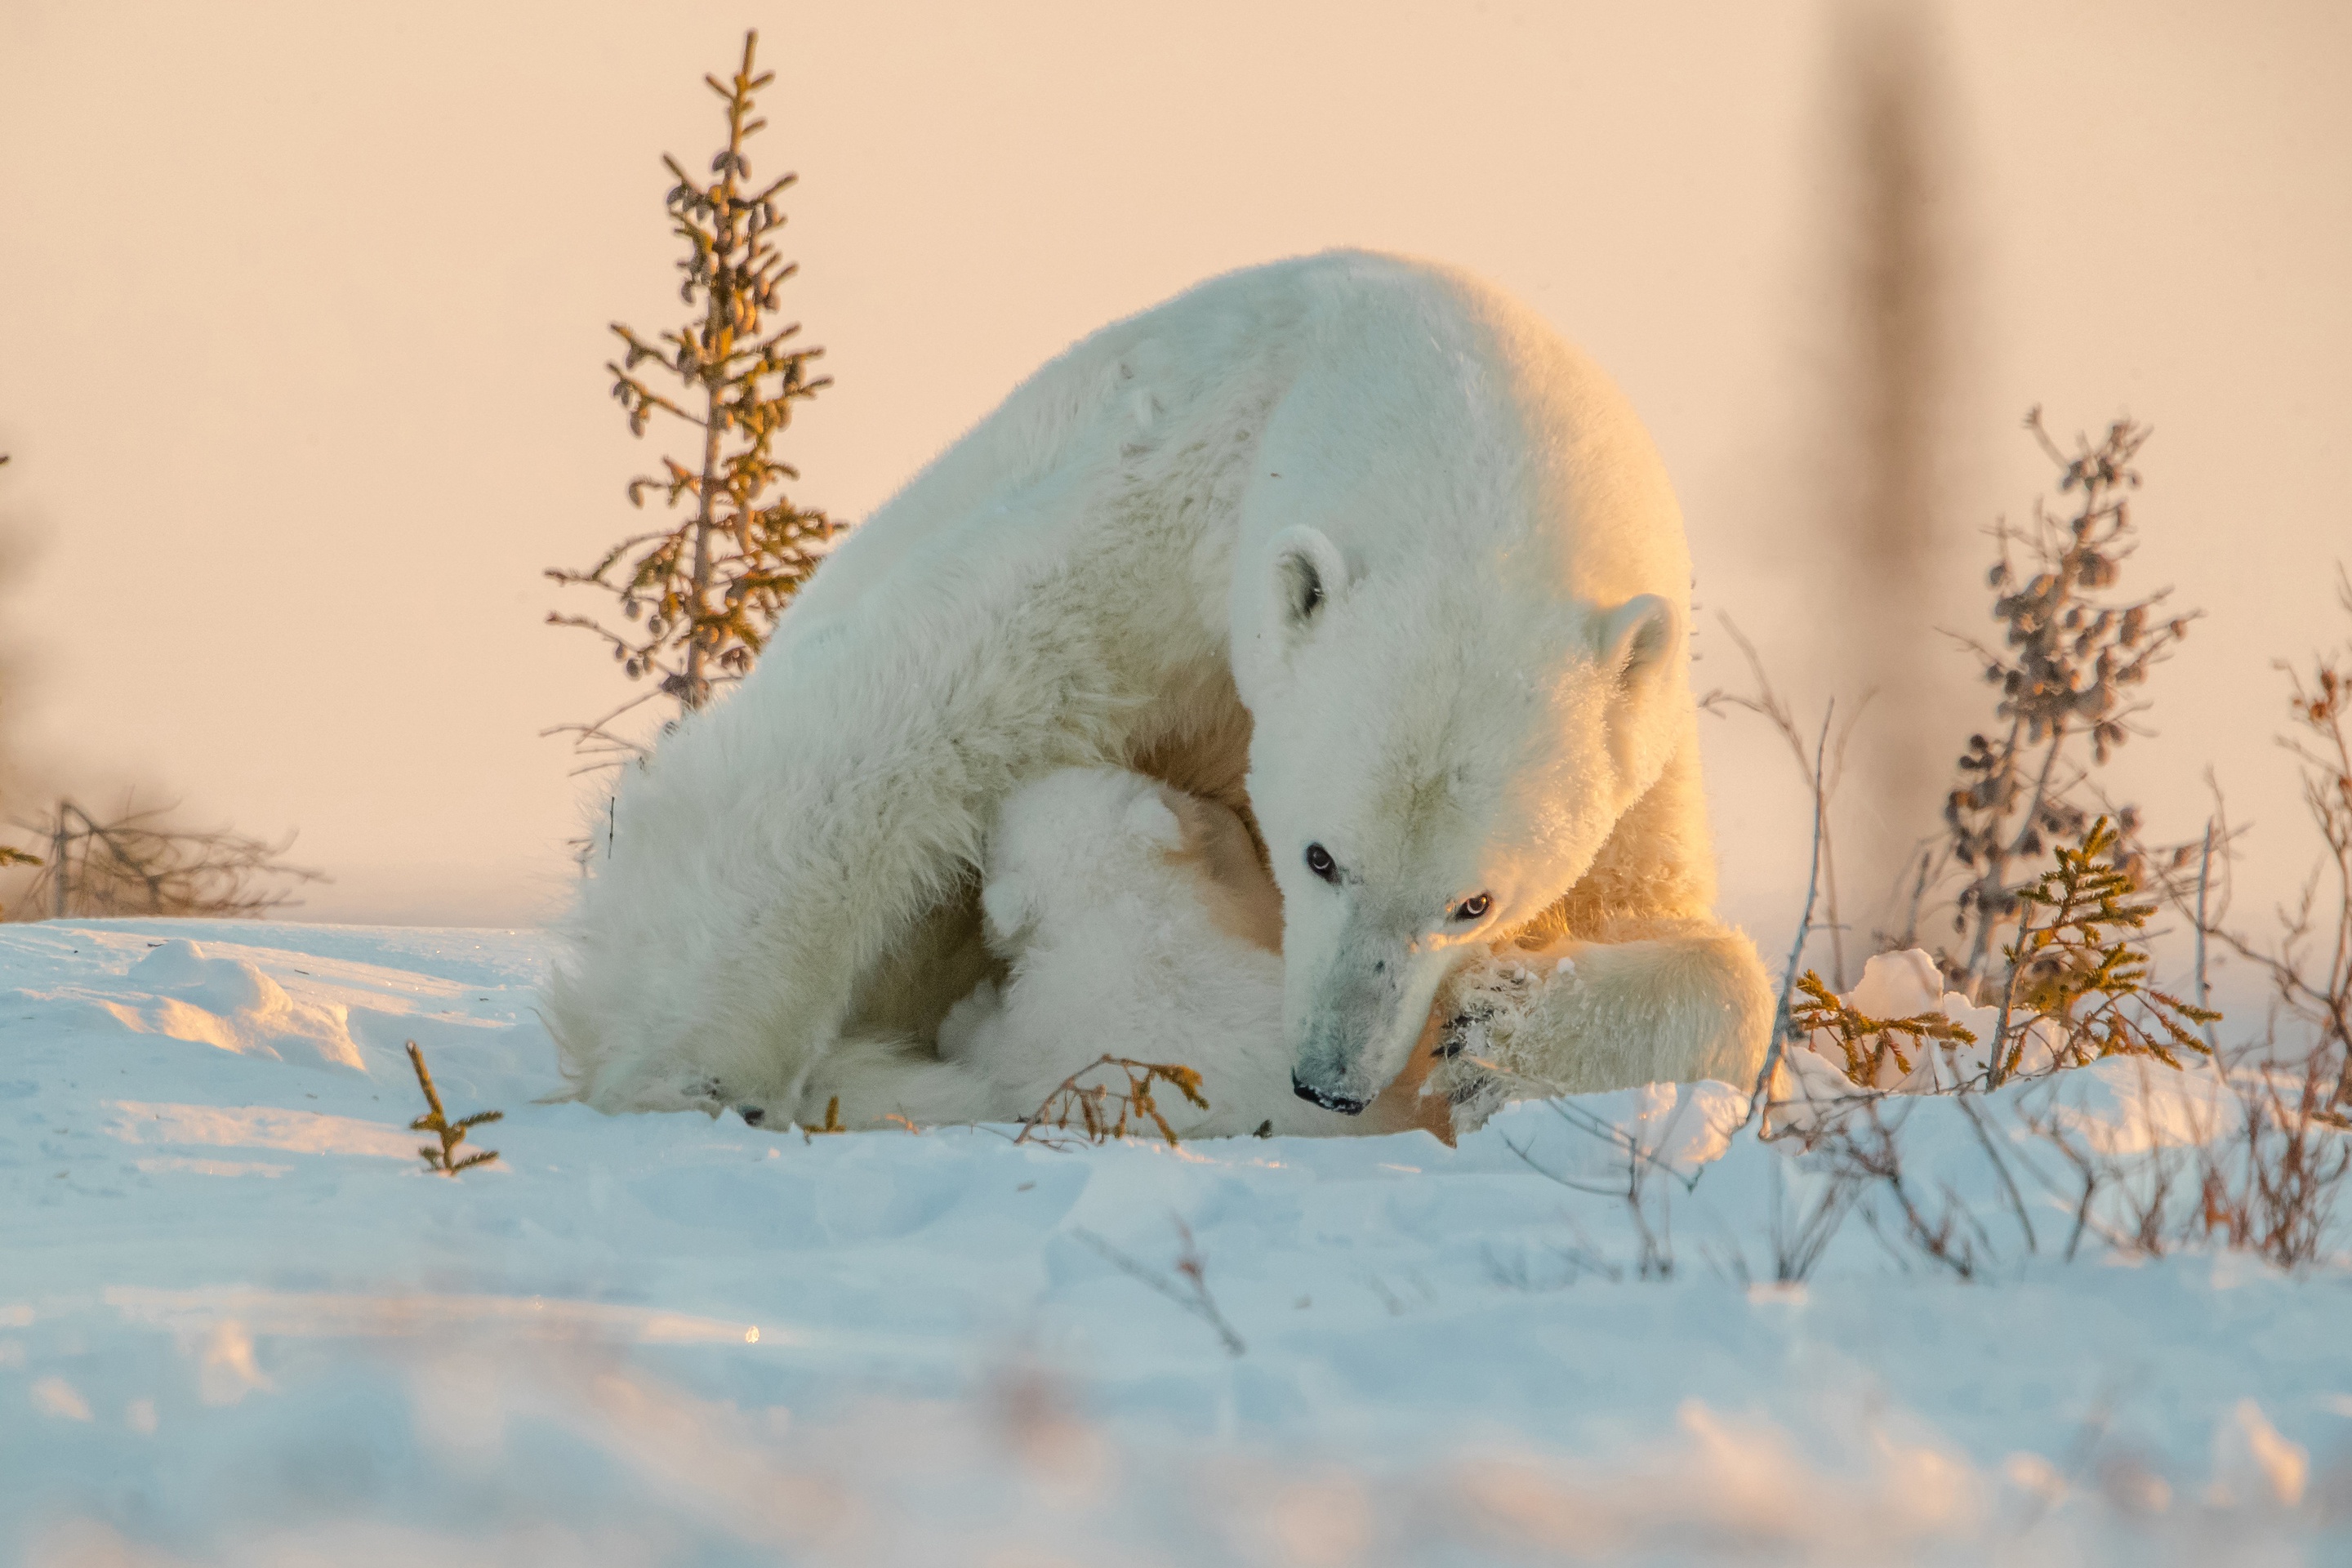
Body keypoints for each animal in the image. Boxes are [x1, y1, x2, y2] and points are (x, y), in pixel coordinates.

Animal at [546, 245, 1768, 1128]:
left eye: (1477, 903)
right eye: (1320, 856)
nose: (1328, 1080)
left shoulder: (1638, 739)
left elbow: (1674, 931)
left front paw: (1494, 1037)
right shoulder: (1152, 525)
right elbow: (886, 730)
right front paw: (694, 1071)